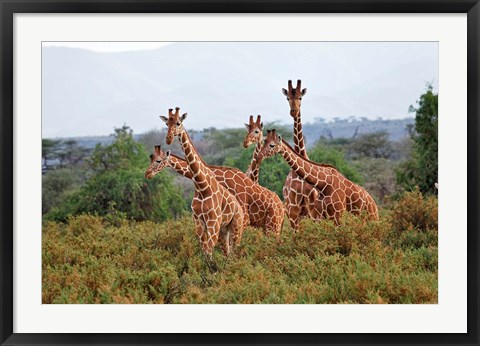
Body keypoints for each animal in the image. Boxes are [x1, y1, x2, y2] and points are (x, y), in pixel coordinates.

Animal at [143, 146, 284, 238]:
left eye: (158, 160)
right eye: (151, 158)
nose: (147, 173)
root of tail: (282, 207)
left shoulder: (243, 217)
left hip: (273, 225)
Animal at [160, 107, 244, 256]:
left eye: (178, 123)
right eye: (166, 124)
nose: (168, 139)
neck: (201, 185)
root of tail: (240, 209)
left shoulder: (213, 221)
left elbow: (209, 251)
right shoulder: (198, 221)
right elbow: (205, 250)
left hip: (236, 226)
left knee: (235, 251)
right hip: (224, 230)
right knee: (228, 252)